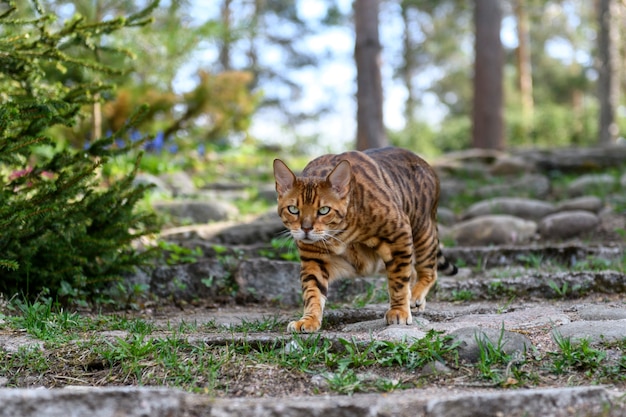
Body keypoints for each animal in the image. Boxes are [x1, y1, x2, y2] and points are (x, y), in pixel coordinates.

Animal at [272, 146, 454, 332]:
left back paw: (415, 297)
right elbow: (312, 291)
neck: (340, 233)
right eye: (293, 209)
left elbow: (398, 281)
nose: (306, 229)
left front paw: (399, 312)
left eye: (323, 210)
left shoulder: (399, 234)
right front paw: (308, 320)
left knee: (428, 270)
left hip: (423, 232)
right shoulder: (313, 258)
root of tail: (425, 163)